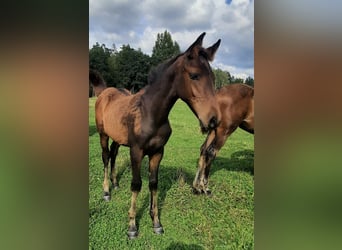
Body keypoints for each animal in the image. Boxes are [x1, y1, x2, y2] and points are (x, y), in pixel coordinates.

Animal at [89, 32, 222, 239]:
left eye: (213, 77)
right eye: (194, 75)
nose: (214, 120)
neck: (150, 113)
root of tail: (104, 92)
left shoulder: (158, 151)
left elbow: (153, 183)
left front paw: (156, 222)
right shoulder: (136, 151)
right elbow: (136, 184)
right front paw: (132, 226)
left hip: (118, 139)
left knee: (113, 153)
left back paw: (115, 183)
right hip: (103, 134)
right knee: (105, 157)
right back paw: (106, 192)